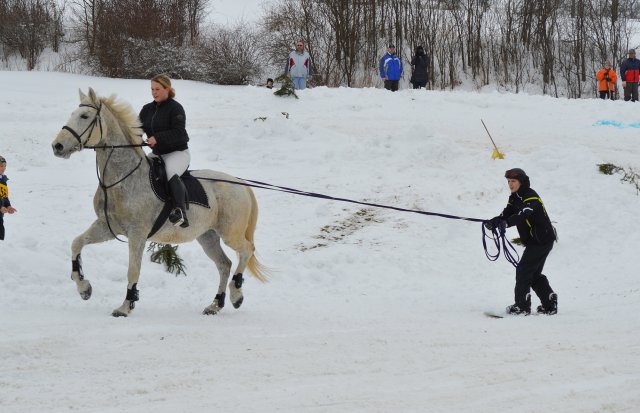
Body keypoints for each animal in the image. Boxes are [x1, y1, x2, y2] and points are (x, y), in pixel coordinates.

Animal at [50, 87, 268, 316]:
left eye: (84, 116)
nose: (57, 146)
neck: (122, 179)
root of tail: (240, 184)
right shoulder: (107, 227)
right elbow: (77, 243)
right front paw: (84, 288)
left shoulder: (137, 234)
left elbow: (133, 270)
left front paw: (126, 306)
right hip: (207, 236)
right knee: (224, 264)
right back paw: (215, 304)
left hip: (230, 233)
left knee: (246, 251)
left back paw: (236, 294)